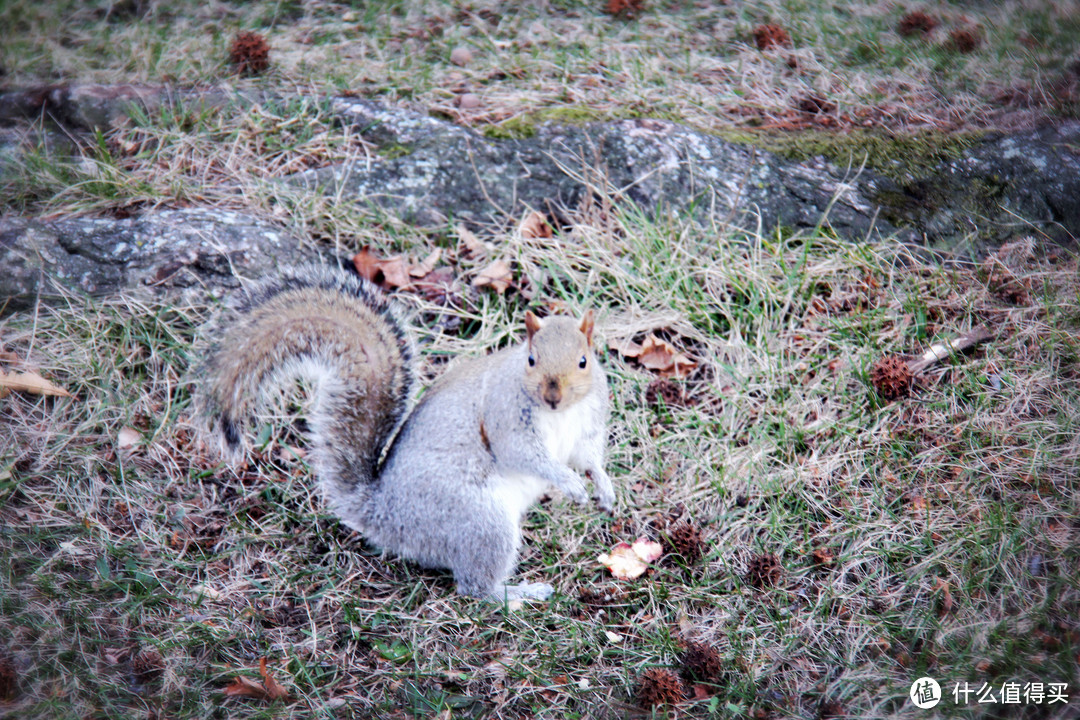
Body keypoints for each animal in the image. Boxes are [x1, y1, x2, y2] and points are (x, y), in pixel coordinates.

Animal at [195, 264, 617, 604]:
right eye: (531, 359)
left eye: (584, 361)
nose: (552, 395)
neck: (562, 413)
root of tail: (386, 515)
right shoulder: (506, 415)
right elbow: (524, 454)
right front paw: (569, 483)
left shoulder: (588, 422)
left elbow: (587, 456)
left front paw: (603, 488)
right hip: (480, 520)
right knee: (474, 588)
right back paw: (518, 594)